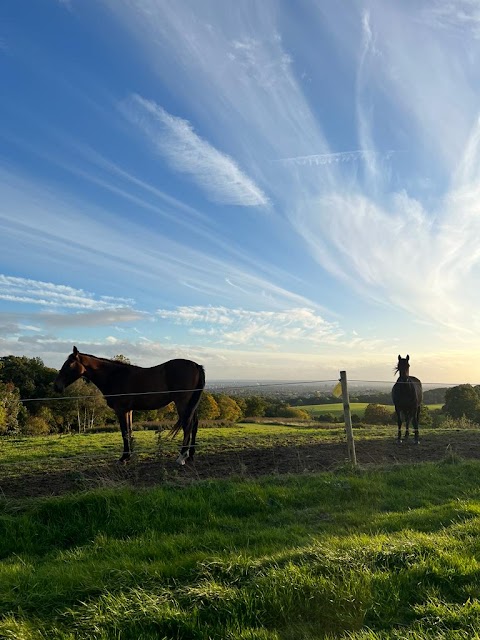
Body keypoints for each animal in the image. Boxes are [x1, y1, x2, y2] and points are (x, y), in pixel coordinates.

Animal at [54, 348, 204, 462]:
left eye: (70, 364)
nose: (56, 386)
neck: (114, 376)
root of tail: (196, 365)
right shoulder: (129, 411)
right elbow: (130, 431)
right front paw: (129, 455)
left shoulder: (121, 410)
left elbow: (124, 432)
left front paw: (124, 457)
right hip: (192, 404)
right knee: (194, 425)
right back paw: (190, 455)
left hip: (182, 403)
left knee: (187, 426)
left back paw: (182, 456)